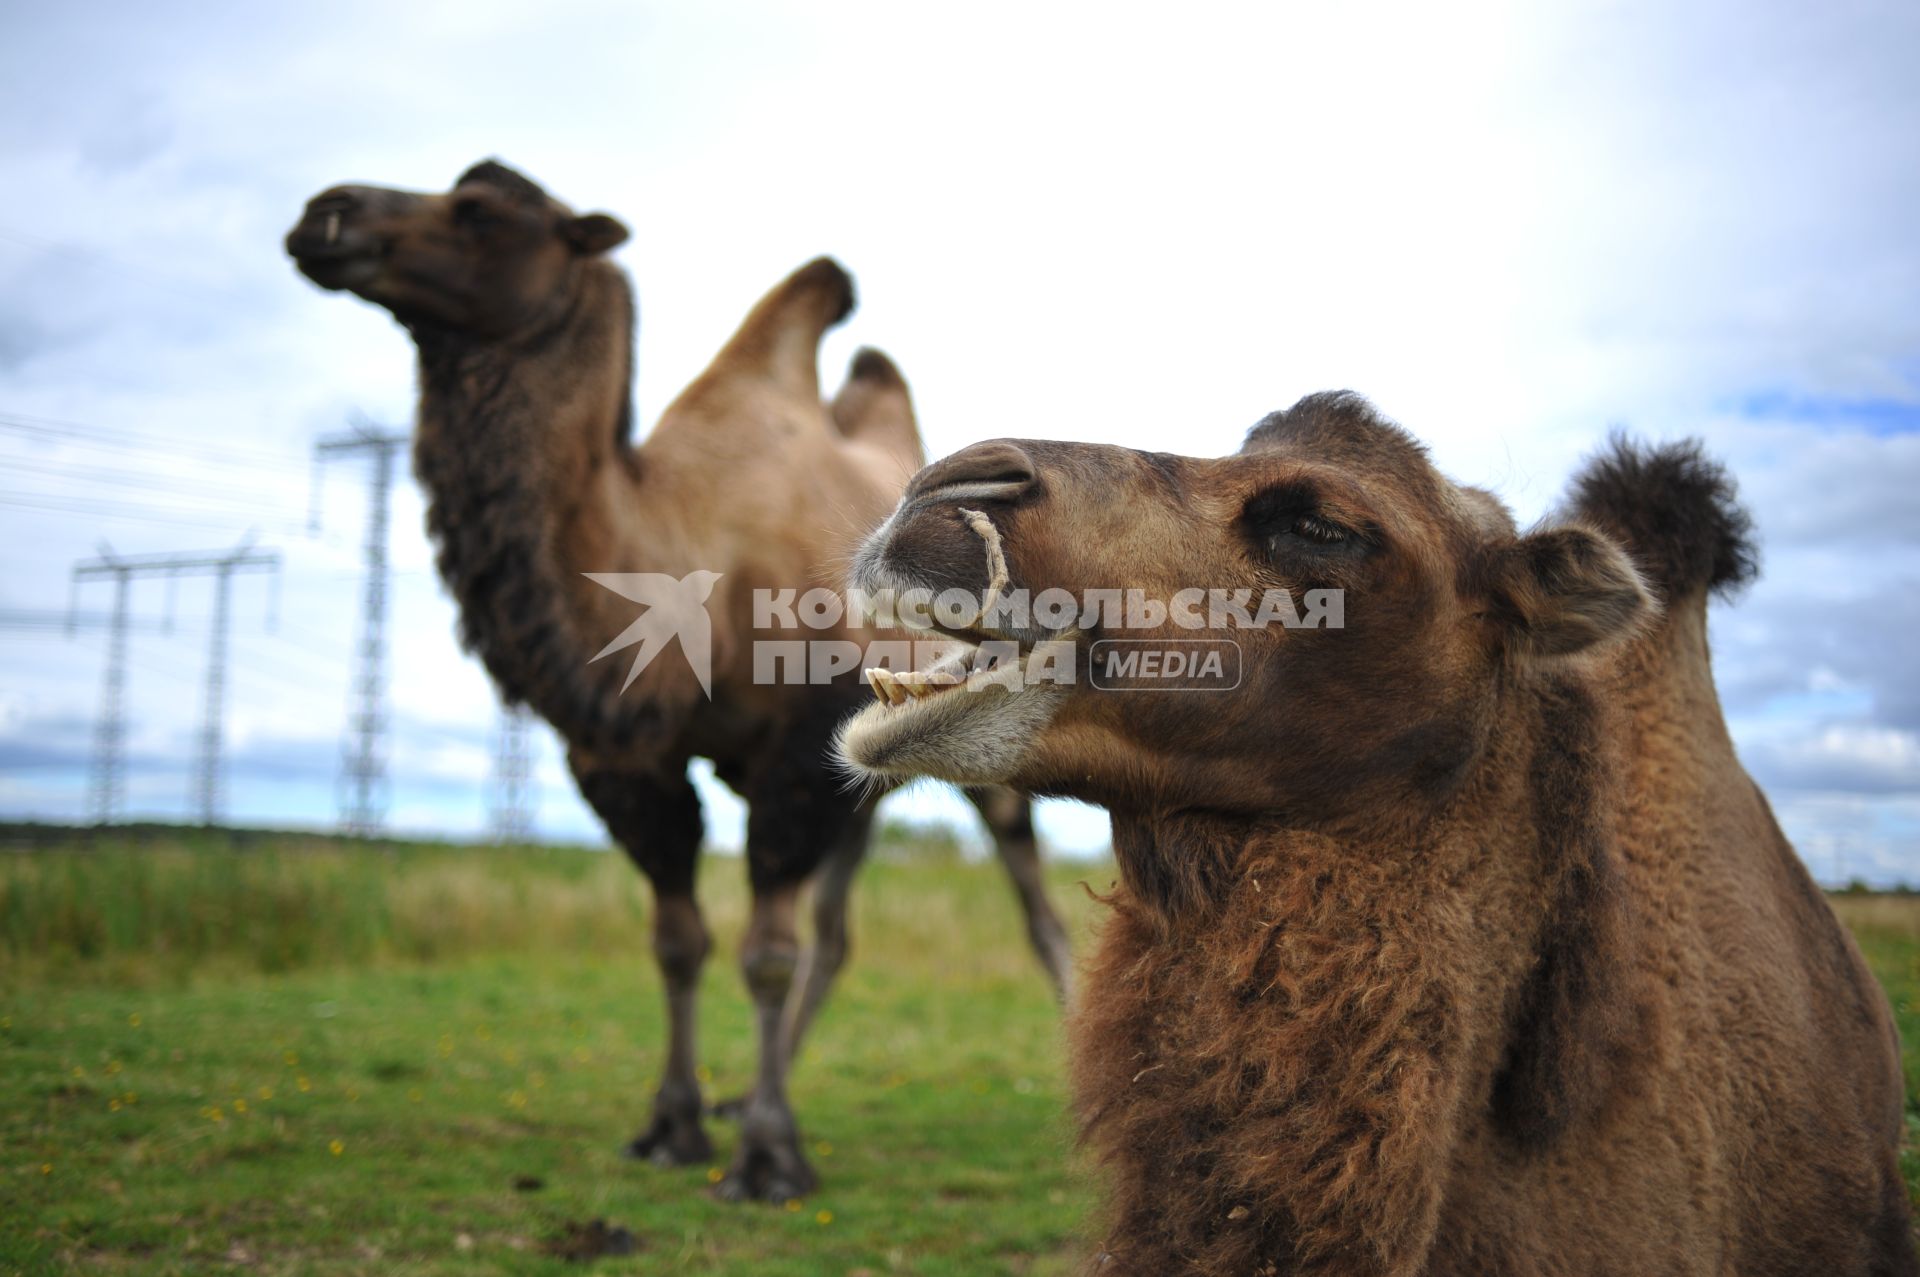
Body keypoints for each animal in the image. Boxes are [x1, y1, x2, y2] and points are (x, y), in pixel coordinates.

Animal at [284, 162, 1075, 1205]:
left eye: (481, 212)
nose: (325, 214)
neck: (680, 552)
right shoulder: (626, 759)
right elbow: (679, 940)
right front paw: (675, 1123)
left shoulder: (793, 753)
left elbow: (766, 952)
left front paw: (770, 1159)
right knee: (840, 927)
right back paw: (750, 1089)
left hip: (989, 736)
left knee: (1033, 905)